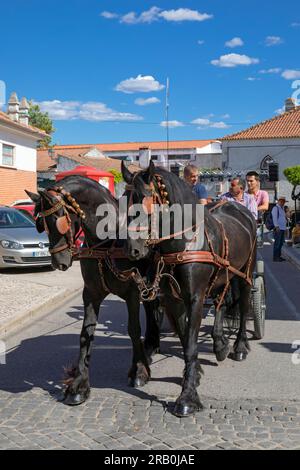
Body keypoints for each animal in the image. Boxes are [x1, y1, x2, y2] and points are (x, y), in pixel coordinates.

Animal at [26, 175, 163, 404]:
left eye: (60, 220)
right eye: (41, 225)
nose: (58, 263)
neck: (107, 244)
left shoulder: (132, 293)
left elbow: (133, 330)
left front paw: (138, 371)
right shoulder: (91, 294)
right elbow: (85, 333)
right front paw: (79, 384)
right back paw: (151, 345)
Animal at [120, 161, 256, 414]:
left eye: (145, 200)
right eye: (123, 202)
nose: (132, 249)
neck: (184, 242)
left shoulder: (194, 296)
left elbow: (191, 344)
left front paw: (188, 396)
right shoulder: (173, 298)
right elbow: (185, 336)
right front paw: (195, 373)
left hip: (246, 273)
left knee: (243, 306)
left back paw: (240, 346)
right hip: (223, 275)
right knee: (221, 301)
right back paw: (220, 343)